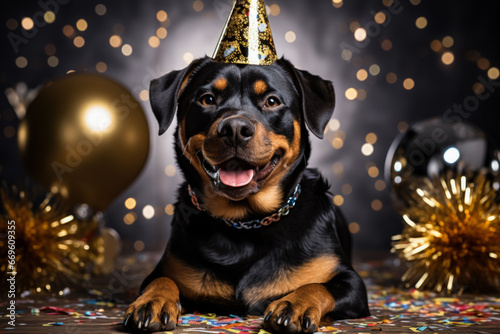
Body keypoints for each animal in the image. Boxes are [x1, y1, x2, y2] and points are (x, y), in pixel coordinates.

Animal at [123, 56, 370, 332]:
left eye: (271, 101)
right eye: (207, 99)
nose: (235, 128)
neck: (245, 222)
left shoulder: (351, 282)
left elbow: (318, 286)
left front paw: (294, 303)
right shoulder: (167, 267)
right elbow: (162, 280)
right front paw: (151, 301)